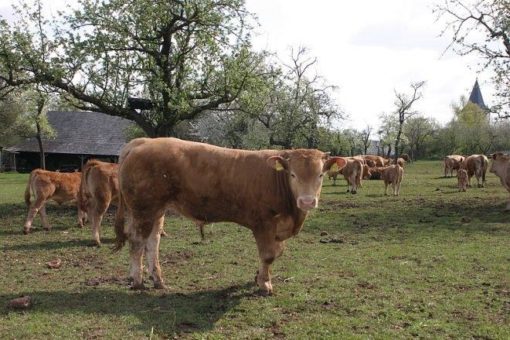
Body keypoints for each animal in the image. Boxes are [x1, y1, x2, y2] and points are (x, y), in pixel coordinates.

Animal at [112, 137, 346, 294]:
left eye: (320, 174)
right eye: (293, 174)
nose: (307, 201)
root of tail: (143, 142)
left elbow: (276, 253)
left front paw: (257, 277)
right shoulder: (263, 224)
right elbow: (268, 255)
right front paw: (265, 284)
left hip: (157, 210)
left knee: (153, 242)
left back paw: (158, 280)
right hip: (143, 209)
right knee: (137, 242)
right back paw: (138, 281)